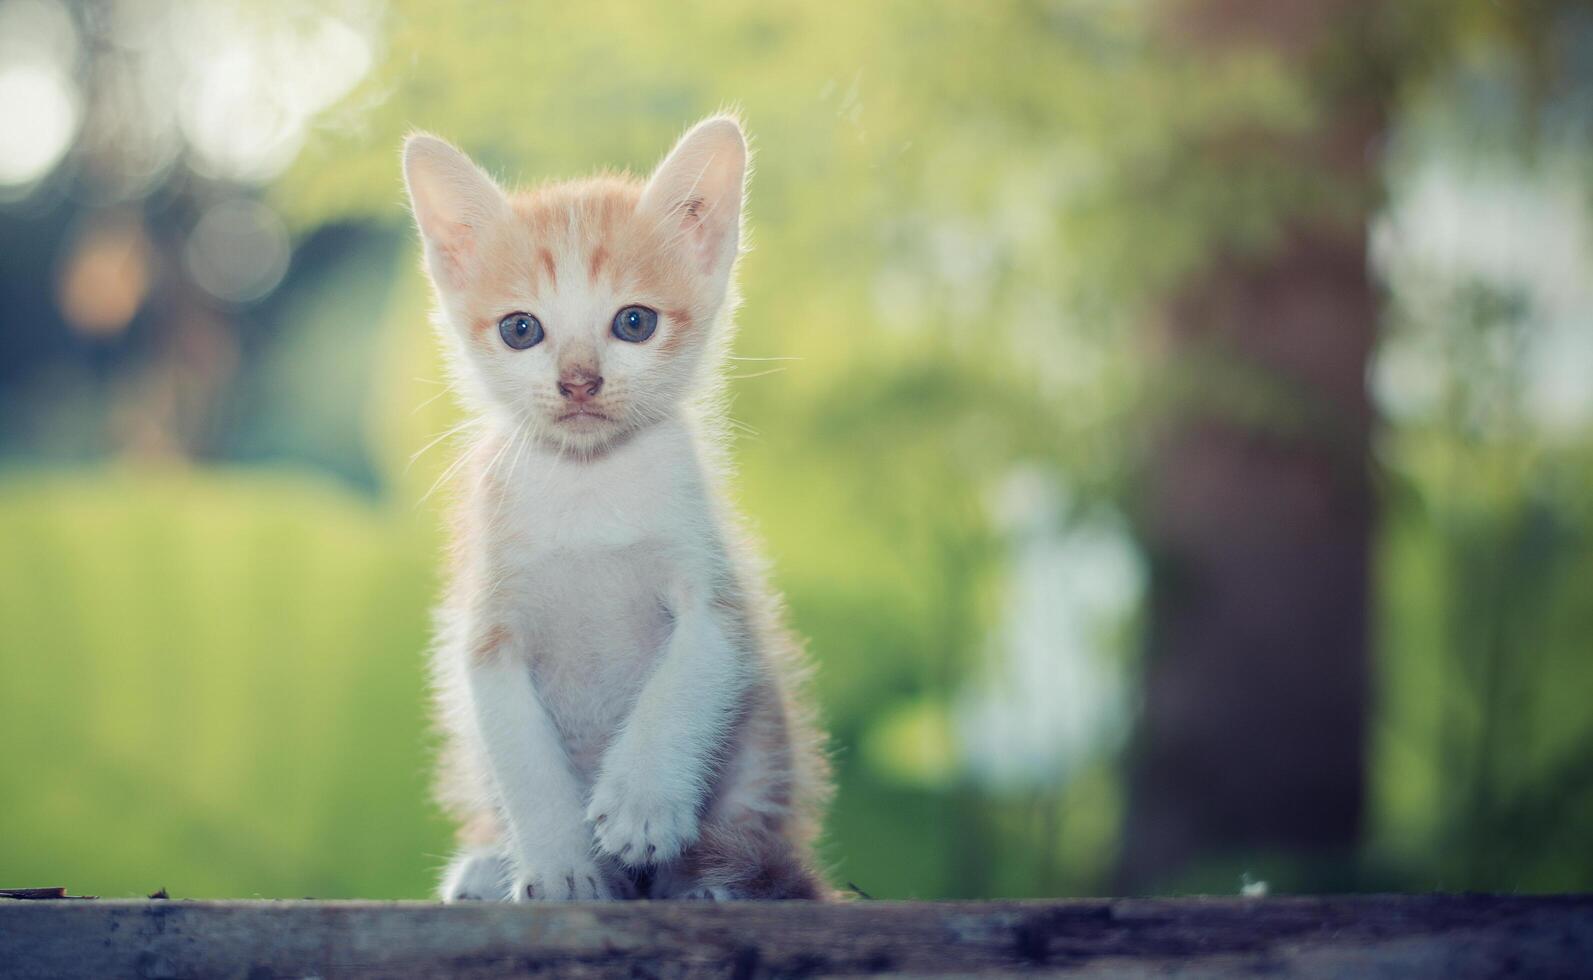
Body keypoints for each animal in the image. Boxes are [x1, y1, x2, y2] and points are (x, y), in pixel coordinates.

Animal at [401, 117, 834, 905]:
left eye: (634, 322)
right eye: (520, 330)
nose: (578, 381)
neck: (588, 487)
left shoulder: (714, 592)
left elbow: (689, 676)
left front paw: (642, 803)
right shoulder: (487, 633)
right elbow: (525, 762)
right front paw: (563, 868)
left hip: (767, 746)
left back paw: (713, 879)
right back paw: (488, 867)